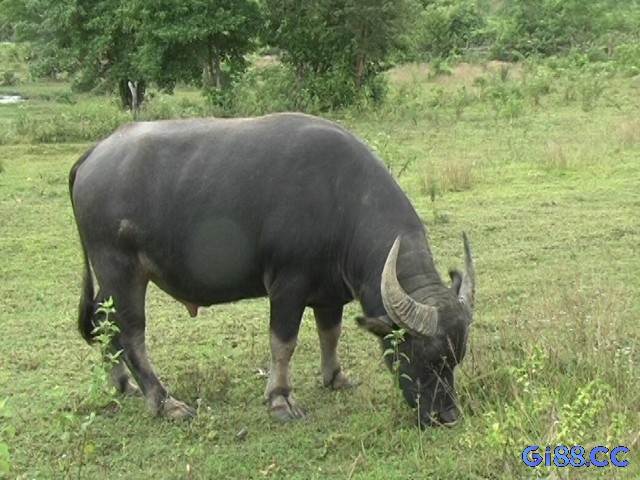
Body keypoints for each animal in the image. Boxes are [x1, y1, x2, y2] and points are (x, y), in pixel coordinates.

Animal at [69, 112, 476, 428]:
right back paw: (163, 401)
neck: (340, 201)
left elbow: (331, 333)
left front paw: (335, 377)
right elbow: (284, 343)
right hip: (121, 271)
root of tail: (95, 153)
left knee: (104, 324)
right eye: (425, 357)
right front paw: (280, 400)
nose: (446, 415)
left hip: (109, 280)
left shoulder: (329, 294)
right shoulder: (287, 285)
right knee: (130, 332)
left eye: (457, 359)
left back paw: (122, 384)